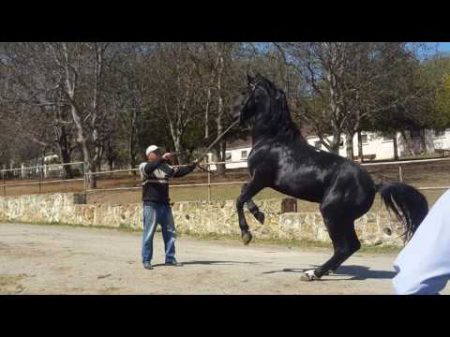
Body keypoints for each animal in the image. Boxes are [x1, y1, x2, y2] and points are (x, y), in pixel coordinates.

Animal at [232, 74, 428, 280]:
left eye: (243, 92)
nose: (234, 114)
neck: (272, 140)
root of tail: (374, 185)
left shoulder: (261, 179)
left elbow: (239, 199)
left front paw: (246, 234)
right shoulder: (258, 180)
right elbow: (243, 192)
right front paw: (258, 214)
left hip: (331, 214)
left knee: (345, 247)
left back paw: (313, 273)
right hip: (344, 219)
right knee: (351, 246)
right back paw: (325, 270)